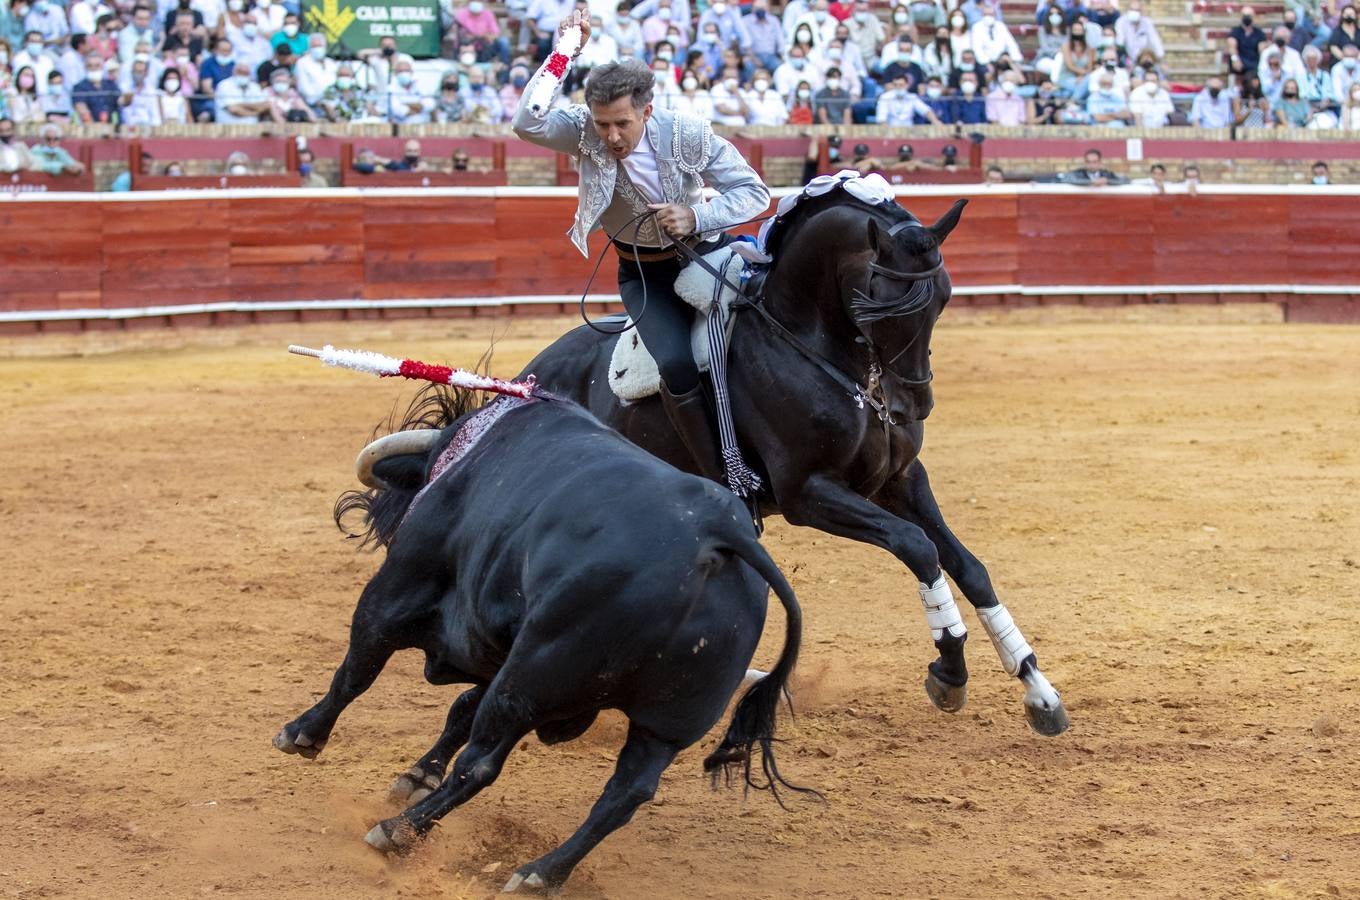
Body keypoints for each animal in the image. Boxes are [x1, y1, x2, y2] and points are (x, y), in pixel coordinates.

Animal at [276, 394, 805, 897]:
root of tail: (721, 533)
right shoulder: (499, 650)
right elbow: (460, 710)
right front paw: (416, 776)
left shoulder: (395, 594)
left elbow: (356, 672)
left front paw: (302, 733)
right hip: (666, 725)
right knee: (625, 794)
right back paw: (540, 873)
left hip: (528, 679)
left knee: (481, 764)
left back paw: (397, 832)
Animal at [369, 186, 1060, 745]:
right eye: (877, 304)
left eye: (942, 298)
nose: (912, 404)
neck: (812, 343)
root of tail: (529, 378)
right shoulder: (811, 495)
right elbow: (919, 548)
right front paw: (949, 671)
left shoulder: (898, 480)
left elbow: (968, 566)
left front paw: (1037, 688)